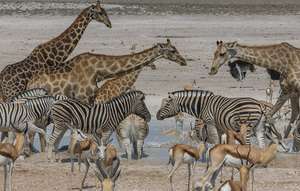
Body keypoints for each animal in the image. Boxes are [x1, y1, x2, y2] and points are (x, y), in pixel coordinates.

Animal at [28, 39, 188, 104]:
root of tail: (30, 82)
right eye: (172, 50)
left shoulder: (91, 98)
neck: (98, 72)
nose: (184, 61)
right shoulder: (83, 97)